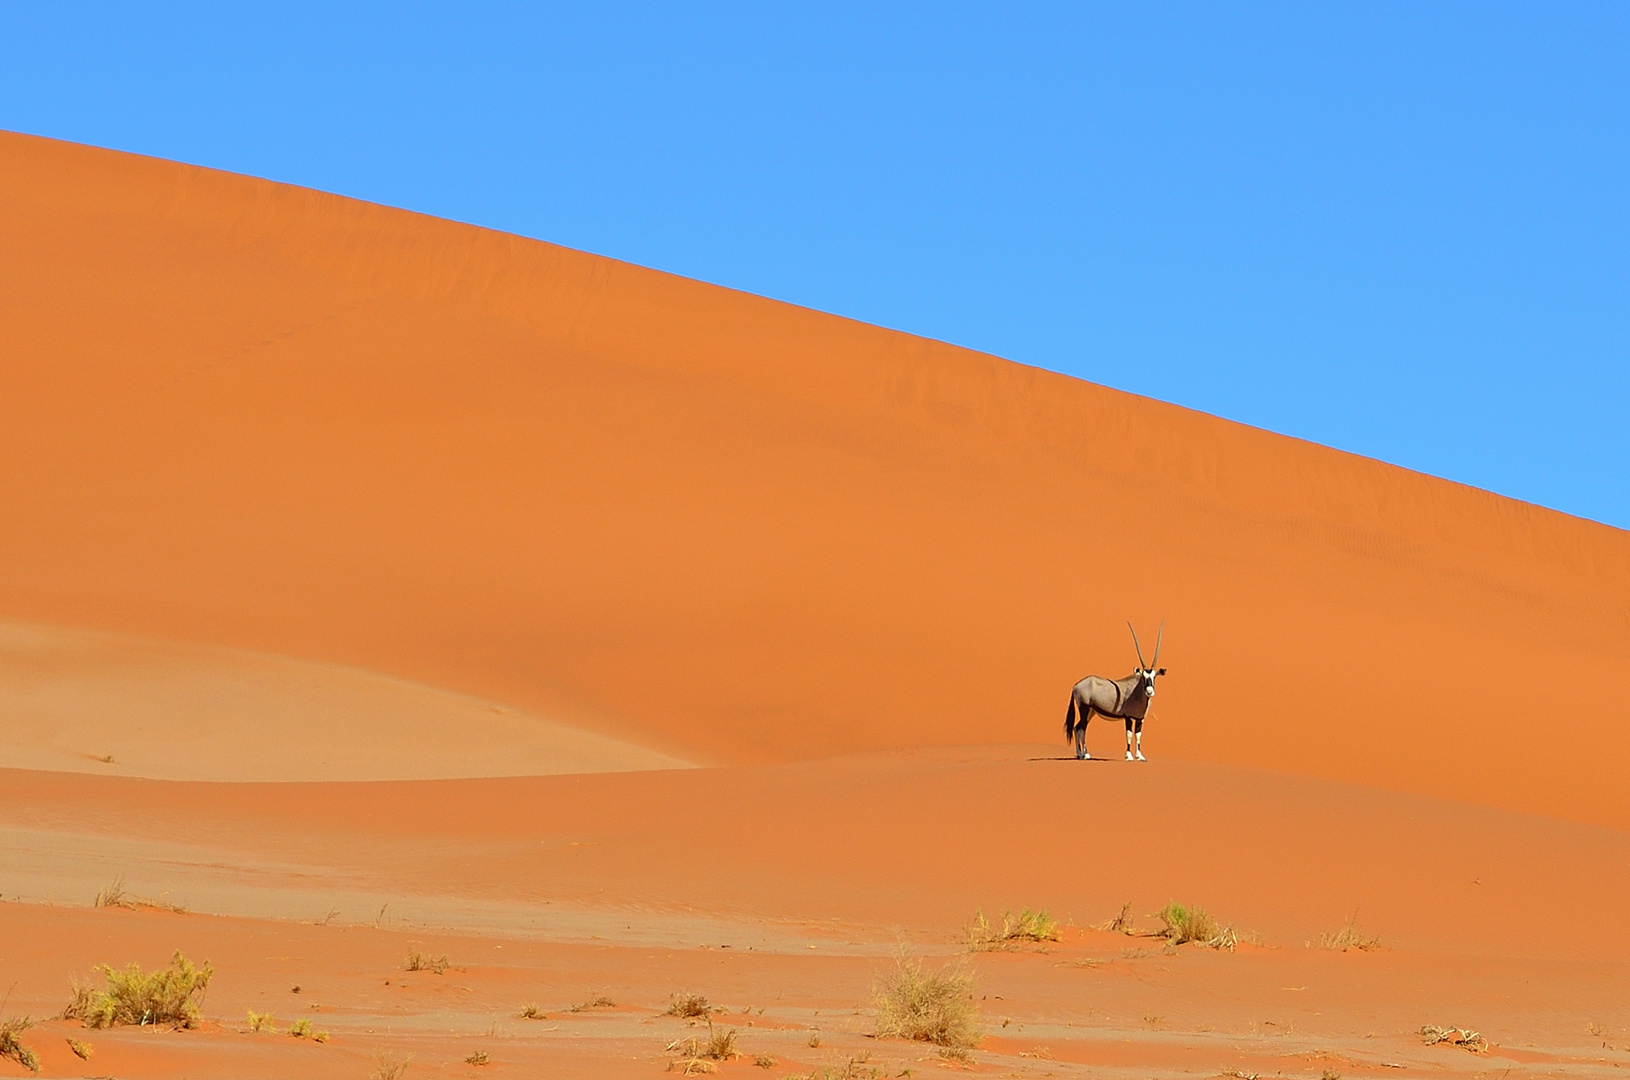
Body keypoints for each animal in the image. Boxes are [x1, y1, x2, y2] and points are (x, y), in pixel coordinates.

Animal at [1062, 622, 1167, 765]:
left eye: (1154, 676)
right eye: (1143, 677)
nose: (1149, 691)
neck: (1136, 693)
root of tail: (1076, 685)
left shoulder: (1140, 718)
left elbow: (1138, 735)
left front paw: (1140, 756)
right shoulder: (1128, 717)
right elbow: (1129, 734)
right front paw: (1129, 756)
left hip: (1091, 712)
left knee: (1077, 728)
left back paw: (1081, 754)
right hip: (1084, 709)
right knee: (1081, 729)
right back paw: (1085, 754)